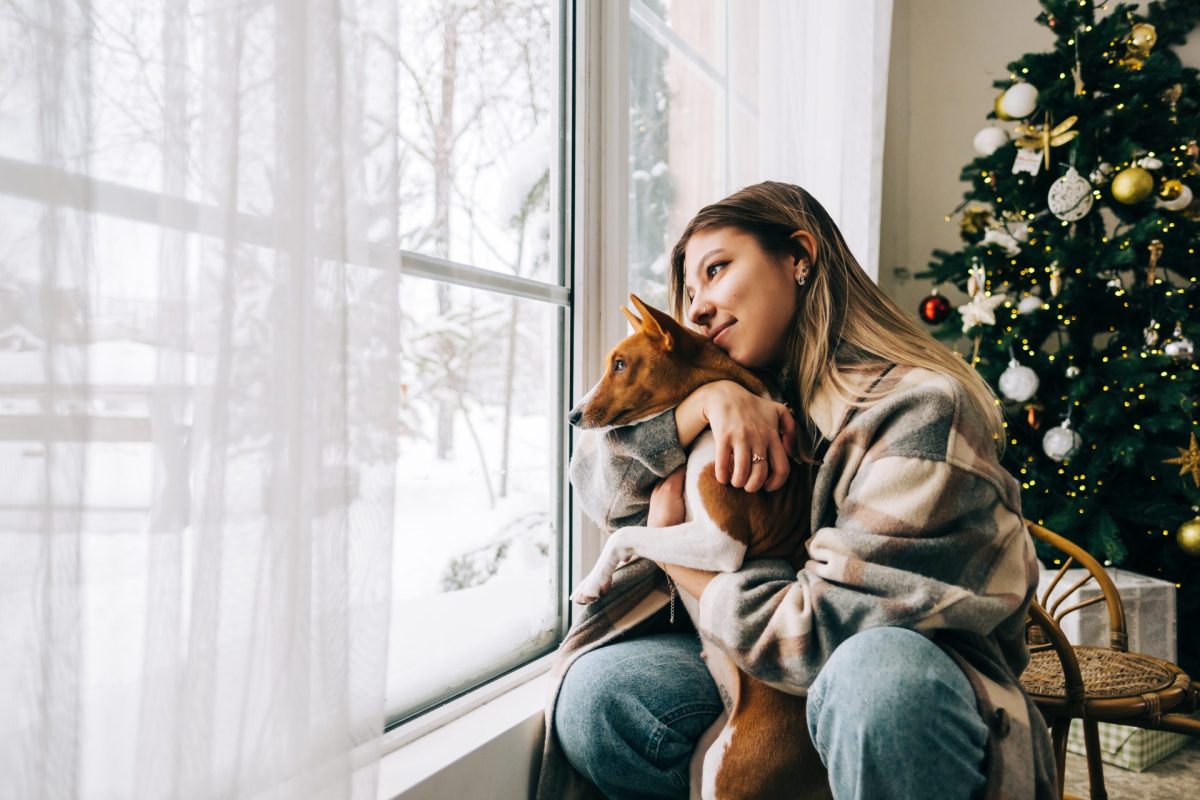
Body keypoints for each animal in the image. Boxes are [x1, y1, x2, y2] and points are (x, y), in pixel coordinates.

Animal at [566, 297, 830, 800]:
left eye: (621, 364)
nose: (573, 416)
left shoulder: (720, 540)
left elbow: (625, 536)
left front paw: (592, 583)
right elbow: (629, 537)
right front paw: (595, 578)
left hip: (727, 776)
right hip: (702, 762)